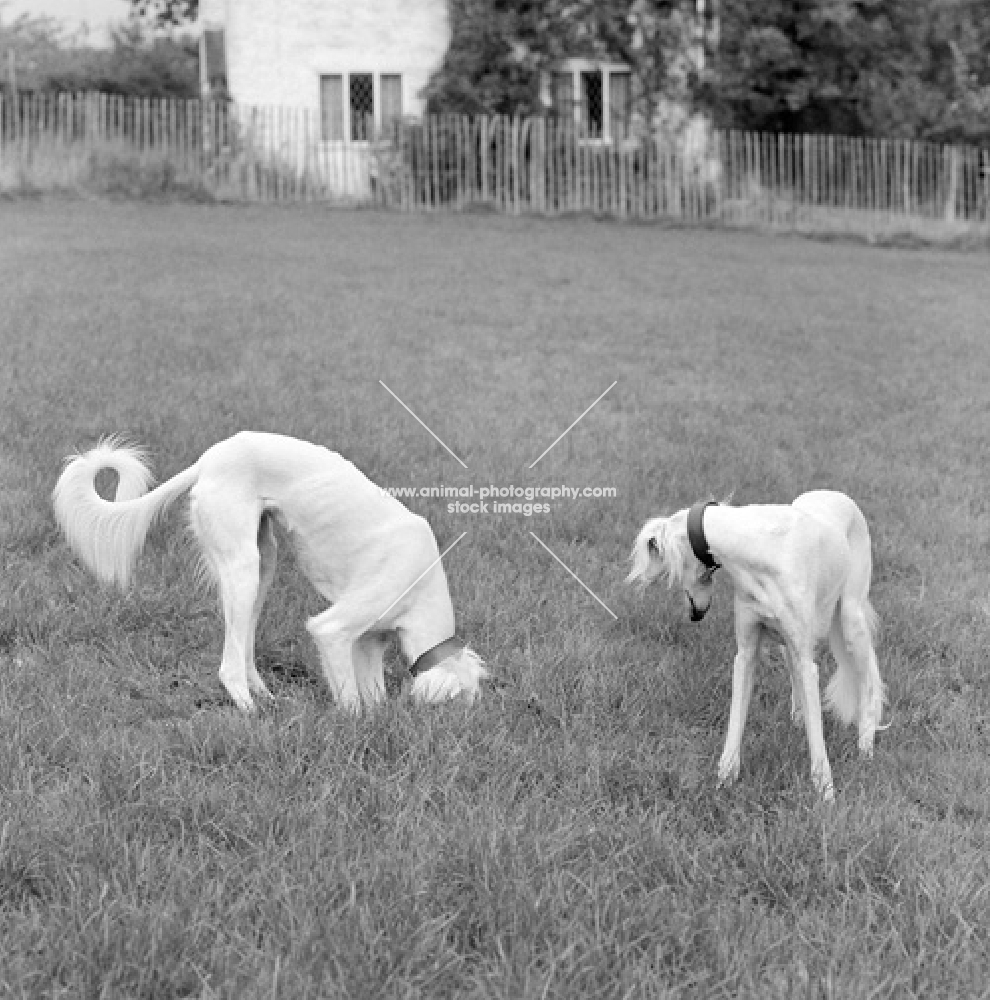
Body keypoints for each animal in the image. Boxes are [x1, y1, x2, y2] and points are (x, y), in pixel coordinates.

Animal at [54, 430, 488, 712]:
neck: (422, 586)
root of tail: (210, 458)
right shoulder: (334, 630)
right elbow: (350, 701)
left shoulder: (369, 639)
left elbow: (374, 696)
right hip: (243, 565)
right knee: (229, 666)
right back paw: (250, 712)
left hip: (264, 564)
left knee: (245, 647)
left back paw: (265, 696)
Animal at [624, 488, 888, 800]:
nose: (695, 615)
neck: (757, 546)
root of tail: (835, 493)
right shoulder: (747, 653)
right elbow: (736, 721)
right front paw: (724, 781)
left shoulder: (805, 656)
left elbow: (818, 739)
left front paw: (826, 793)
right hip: (788, 645)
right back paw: (798, 722)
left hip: (850, 619)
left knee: (868, 681)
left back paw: (866, 747)